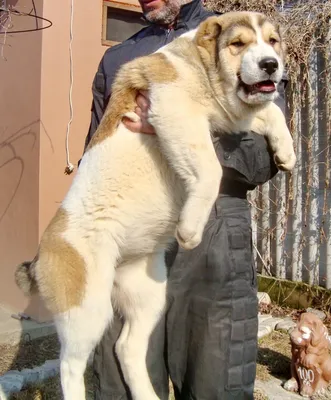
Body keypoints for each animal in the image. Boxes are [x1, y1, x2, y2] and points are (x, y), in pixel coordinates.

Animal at [14, 11, 296, 400]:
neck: (201, 70)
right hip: (87, 308)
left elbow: (270, 113)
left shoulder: (227, 118)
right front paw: (189, 229)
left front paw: (287, 152)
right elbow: (210, 167)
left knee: (126, 348)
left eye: (272, 42)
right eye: (238, 44)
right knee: (70, 365)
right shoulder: (174, 110)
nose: (271, 64)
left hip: (147, 294)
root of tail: (41, 255)